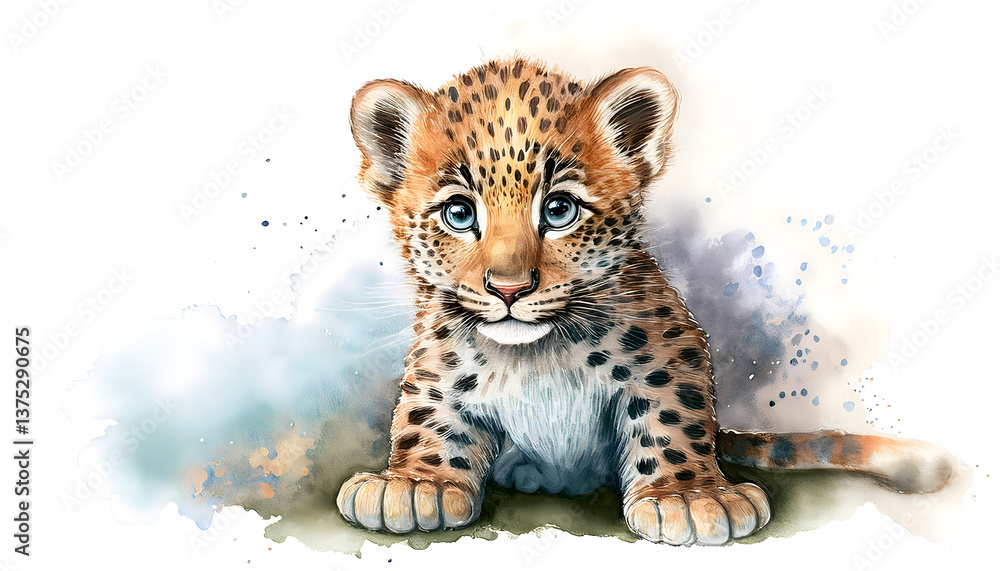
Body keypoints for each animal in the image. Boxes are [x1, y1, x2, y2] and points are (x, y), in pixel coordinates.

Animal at [336, 57, 953, 545]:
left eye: (559, 209)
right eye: (459, 214)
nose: (509, 290)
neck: (536, 354)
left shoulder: (671, 347)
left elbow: (673, 417)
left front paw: (691, 497)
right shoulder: (437, 364)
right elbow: (427, 417)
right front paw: (415, 483)